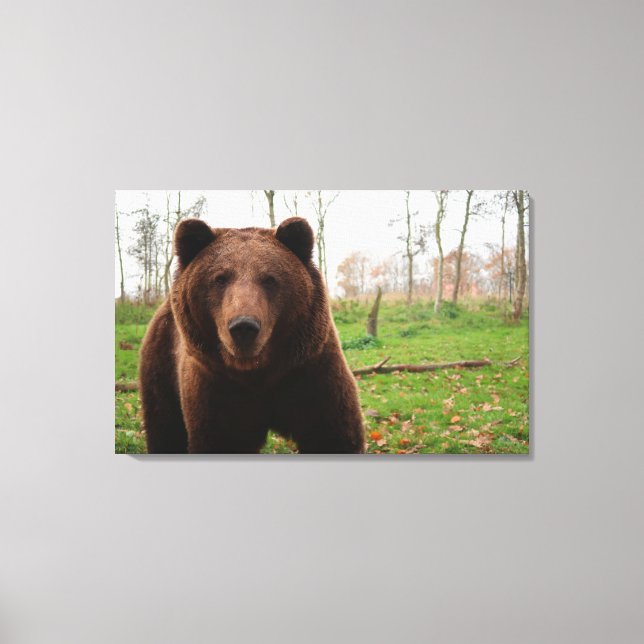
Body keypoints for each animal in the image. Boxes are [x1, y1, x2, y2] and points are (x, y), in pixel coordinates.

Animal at [139, 216, 365, 454]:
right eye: (220, 278)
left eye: (270, 279)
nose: (243, 326)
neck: (258, 375)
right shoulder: (216, 390)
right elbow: (220, 440)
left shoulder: (311, 373)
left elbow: (333, 435)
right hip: (162, 364)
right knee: (165, 427)